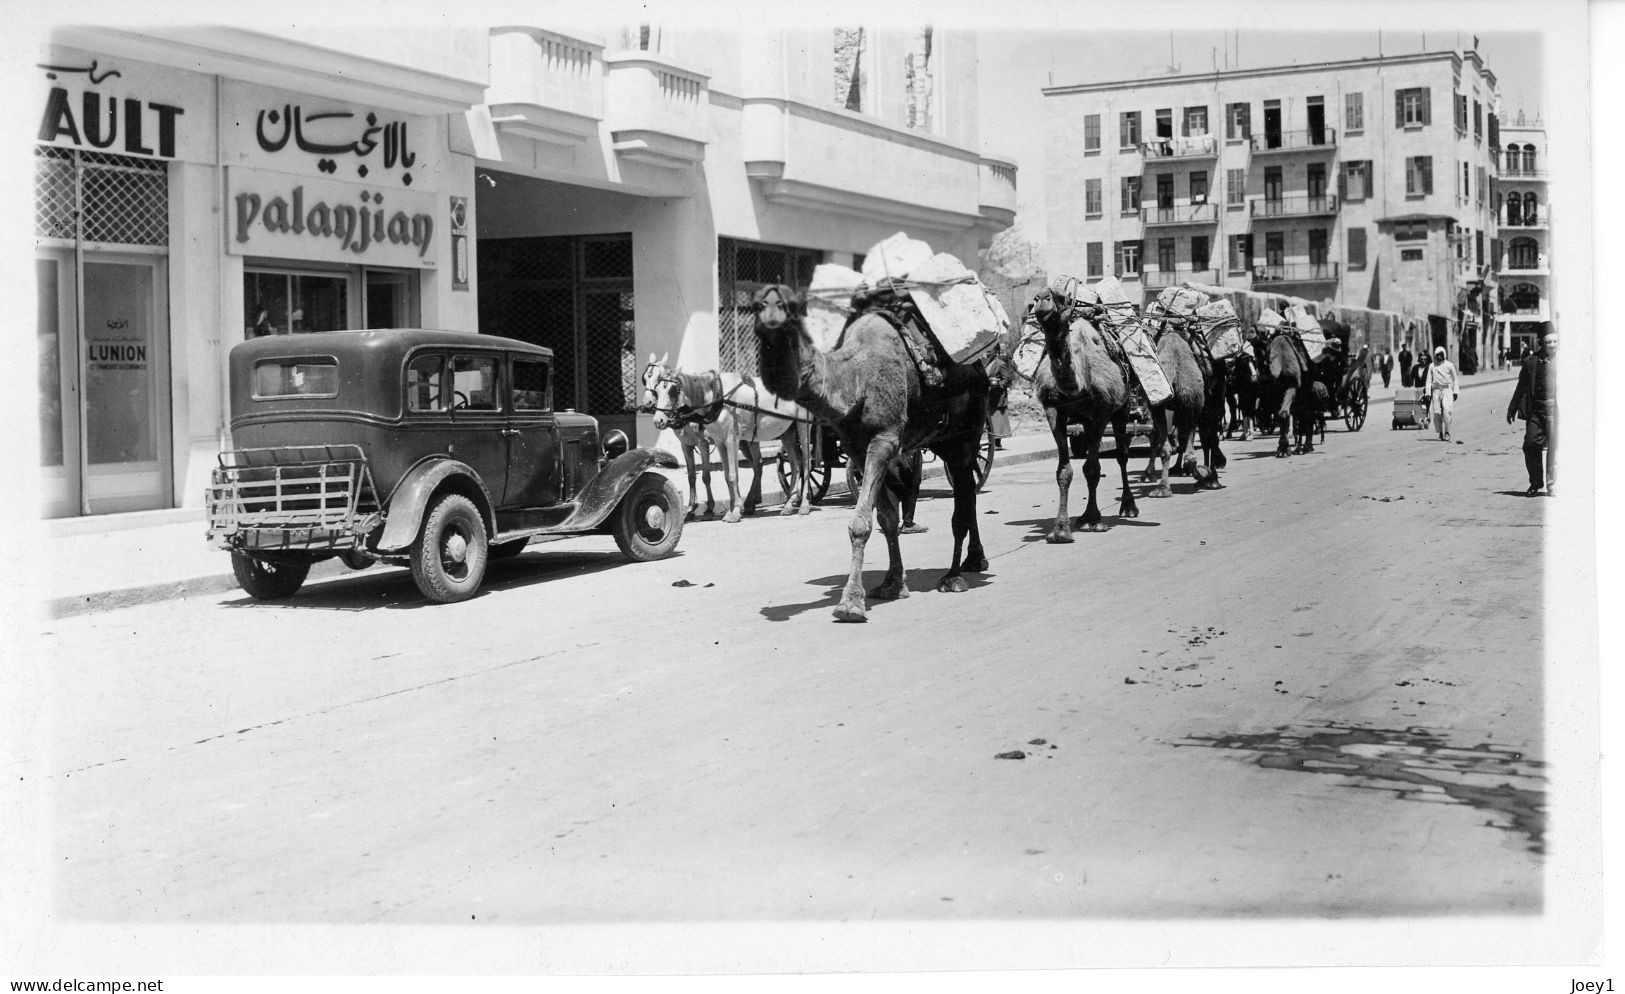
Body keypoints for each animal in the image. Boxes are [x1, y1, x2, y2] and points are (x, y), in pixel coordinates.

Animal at [633, 357, 812, 529]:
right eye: (647, 381)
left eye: (673, 389)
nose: (658, 419)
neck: (715, 397)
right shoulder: (708, 443)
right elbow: (707, 476)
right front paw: (721, 510)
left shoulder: (719, 440)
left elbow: (722, 475)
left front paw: (724, 510)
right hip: (784, 433)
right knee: (790, 464)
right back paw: (785, 503)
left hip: (803, 427)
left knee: (805, 462)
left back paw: (803, 504)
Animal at [747, 279, 988, 620]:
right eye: (756, 304)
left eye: (790, 306)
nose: (770, 316)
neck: (855, 380)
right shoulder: (857, 448)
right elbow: (886, 518)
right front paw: (892, 584)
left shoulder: (884, 441)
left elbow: (860, 523)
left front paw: (850, 603)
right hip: (942, 439)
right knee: (967, 494)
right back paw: (974, 560)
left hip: (966, 433)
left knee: (964, 496)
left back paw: (954, 576)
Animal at [1027, 284, 1144, 539]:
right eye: (1036, 297)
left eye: (1062, 297)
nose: (1041, 299)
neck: (1078, 384)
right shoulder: (1054, 410)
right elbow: (1064, 470)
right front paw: (1060, 530)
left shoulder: (1102, 411)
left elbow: (1092, 468)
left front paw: (1093, 520)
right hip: (1086, 421)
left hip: (1121, 410)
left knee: (1122, 455)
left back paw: (1128, 507)